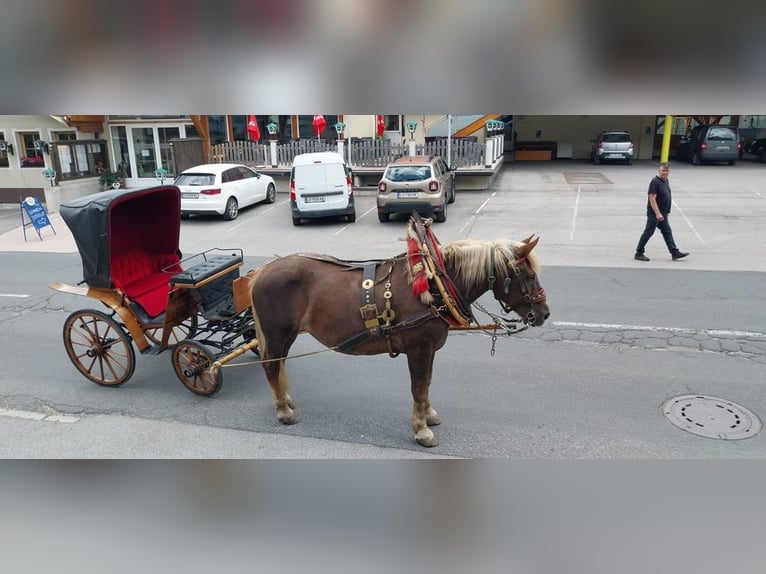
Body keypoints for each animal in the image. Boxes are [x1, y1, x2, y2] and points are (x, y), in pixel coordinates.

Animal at [248, 218, 552, 448]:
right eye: (528, 275)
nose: (544, 313)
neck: (435, 283)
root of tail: (262, 270)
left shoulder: (428, 350)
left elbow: (427, 383)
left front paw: (428, 415)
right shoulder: (418, 349)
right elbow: (418, 387)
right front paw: (421, 430)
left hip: (287, 334)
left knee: (278, 363)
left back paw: (285, 398)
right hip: (276, 333)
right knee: (270, 364)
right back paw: (283, 410)